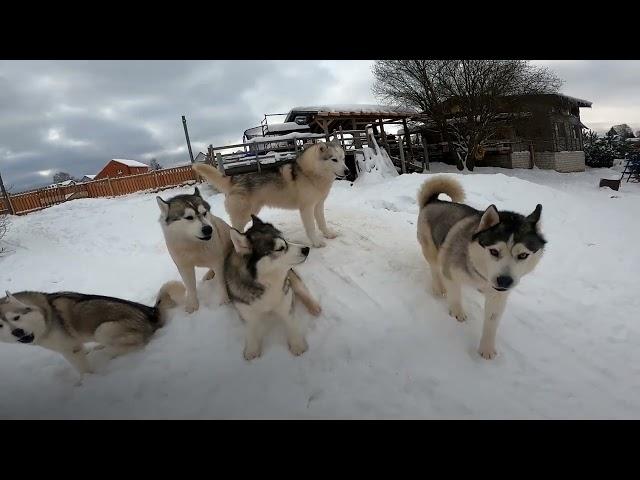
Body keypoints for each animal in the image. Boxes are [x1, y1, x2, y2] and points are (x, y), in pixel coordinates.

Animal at [0, 282, 185, 378]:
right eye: (0, 325)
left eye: (16, 318)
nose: (17, 332)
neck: (47, 317)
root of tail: (151, 313)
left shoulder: (71, 349)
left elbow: (83, 370)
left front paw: (85, 383)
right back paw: (99, 348)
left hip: (103, 328)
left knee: (138, 344)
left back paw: (107, 353)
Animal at [156, 186, 234, 314]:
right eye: (189, 217)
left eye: (204, 213)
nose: (208, 229)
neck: (193, 244)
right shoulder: (184, 266)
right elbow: (190, 287)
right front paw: (193, 305)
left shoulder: (217, 260)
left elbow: (221, 281)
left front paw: (224, 300)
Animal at [192, 141, 348, 248]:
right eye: (333, 159)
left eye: (343, 158)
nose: (347, 171)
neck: (309, 173)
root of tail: (234, 179)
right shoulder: (306, 208)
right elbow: (311, 228)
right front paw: (316, 242)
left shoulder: (318, 205)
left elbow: (322, 223)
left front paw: (328, 234)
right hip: (243, 216)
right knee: (233, 231)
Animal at [226, 215, 324, 360]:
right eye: (280, 248)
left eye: (286, 240)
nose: (306, 249)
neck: (267, 283)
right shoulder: (245, 310)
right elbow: (250, 329)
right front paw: (252, 349)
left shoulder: (286, 301)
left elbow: (291, 323)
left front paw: (297, 345)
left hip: (292, 276)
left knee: (301, 289)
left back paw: (313, 306)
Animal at [418, 176, 548, 360]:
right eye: (494, 251)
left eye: (523, 255)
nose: (504, 281)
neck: (480, 275)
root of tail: (434, 200)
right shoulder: (451, 271)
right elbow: (455, 295)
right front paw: (457, 312)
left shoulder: (498, 295)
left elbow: (491, 322)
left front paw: (486, 348)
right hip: (431, 249)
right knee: (434, 268)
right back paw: (439, 287)